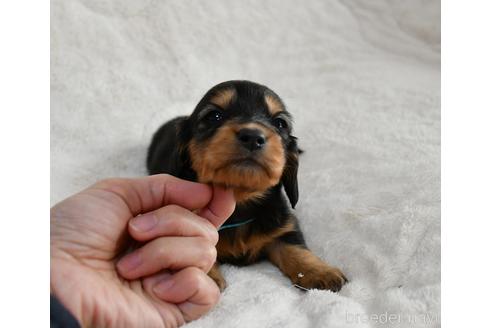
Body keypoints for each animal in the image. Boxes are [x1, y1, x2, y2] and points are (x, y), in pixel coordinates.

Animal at [148, 80, 348, 290]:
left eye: (280, 123)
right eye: (214, 116)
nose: (253, 136)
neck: (240, 202)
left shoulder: (284, 226)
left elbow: (295, 247)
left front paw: (320, 271)